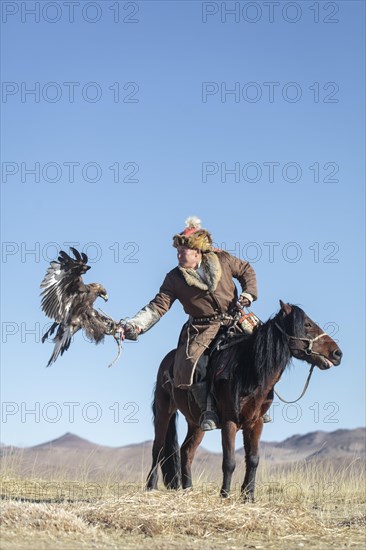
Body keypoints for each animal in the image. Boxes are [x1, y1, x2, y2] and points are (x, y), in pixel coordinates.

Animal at [146, 304, 344, 502]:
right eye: (307, 324)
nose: (337, 353)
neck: (249, 371)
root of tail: (167, 361)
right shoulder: (229, 422)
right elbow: (229, 462)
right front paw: (225, 495)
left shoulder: (255, 423)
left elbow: (254, 459)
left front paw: (249, 496)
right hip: (164, 410)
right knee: (158, 447)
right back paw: (151, 486)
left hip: (196, 423)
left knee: (186, 451)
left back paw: (188, 489)